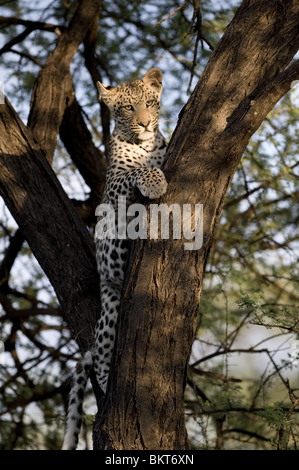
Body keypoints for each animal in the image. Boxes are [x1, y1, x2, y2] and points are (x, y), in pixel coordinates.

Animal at [61, 68, 168, 450]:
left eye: (150, 102)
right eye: (128, 108)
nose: (146, 123)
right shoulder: (114, 186)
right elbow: (134, 172)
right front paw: (153, 180)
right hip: (109, 310)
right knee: (103, 357)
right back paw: (107, 382)